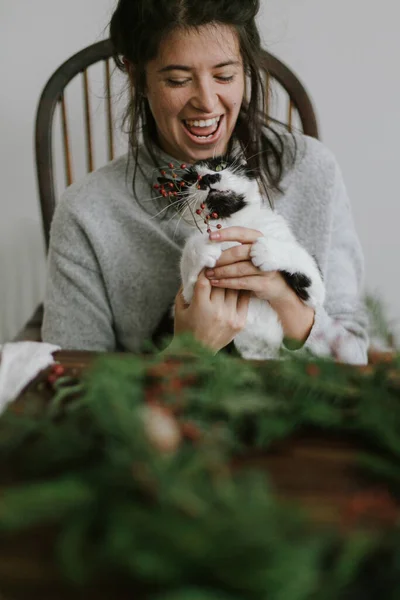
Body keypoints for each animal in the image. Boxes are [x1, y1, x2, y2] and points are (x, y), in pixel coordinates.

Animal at [158, 157, 324, 358]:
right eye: (189, 181)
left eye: (219, 166)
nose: (207, 178)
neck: (233, 222)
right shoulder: (189, 296)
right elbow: (189, 265)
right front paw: (203, 246)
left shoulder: (313, 294)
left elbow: (308, 270)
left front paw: (266, 249)